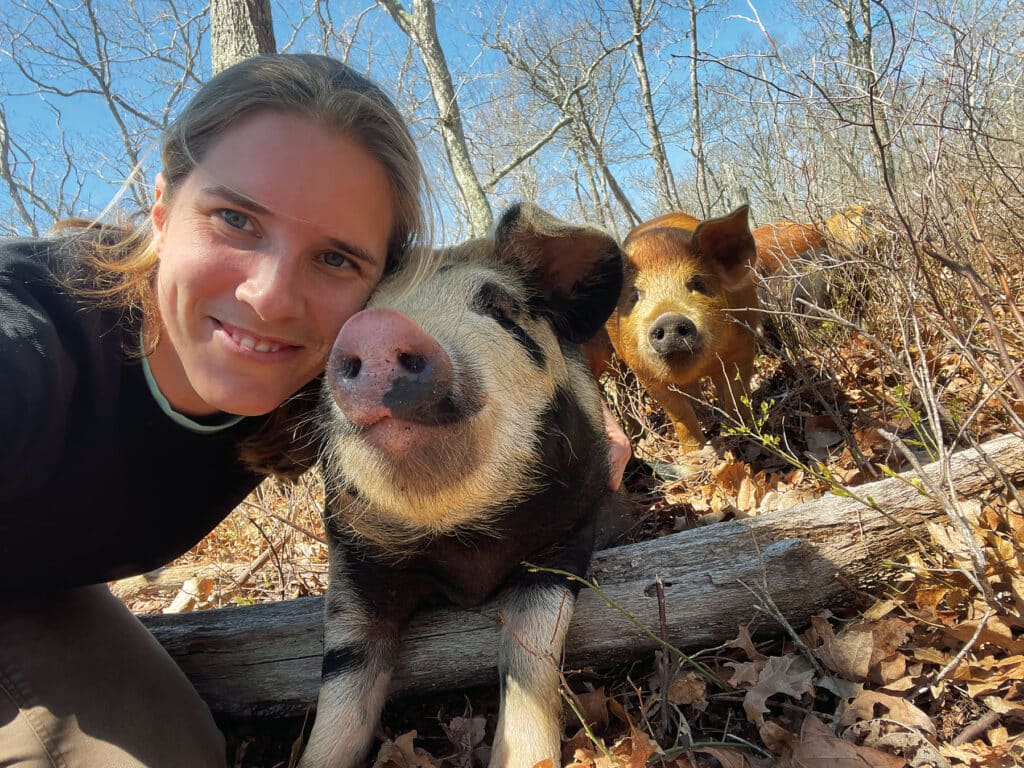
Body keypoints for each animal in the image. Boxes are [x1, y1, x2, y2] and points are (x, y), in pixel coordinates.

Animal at [298, 203, 629, 768]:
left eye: (501, 307)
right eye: (354, 318)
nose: (375, 328)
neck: (465, 548)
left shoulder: (567, 536)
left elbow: (529, 647)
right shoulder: (354, 562)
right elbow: (342, 682)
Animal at [600, 206, 759, 450]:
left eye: (697, 283)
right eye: (635, 295)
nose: (668, 320)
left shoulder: (745, 343)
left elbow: (738, 392)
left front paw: (741, 432)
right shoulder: (644, 373)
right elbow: (679, 414)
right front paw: (695, 453)